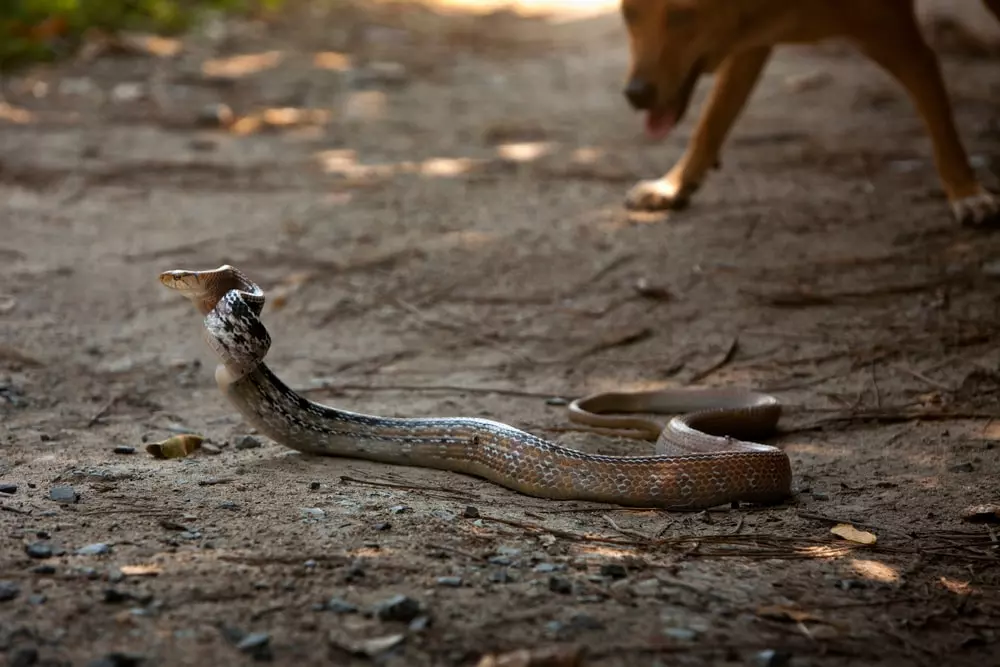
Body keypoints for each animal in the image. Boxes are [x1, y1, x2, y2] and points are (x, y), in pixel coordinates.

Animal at [620, 0, 996, 227]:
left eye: (683, 15)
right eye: (629, 14)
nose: (635, 94)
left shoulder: (908, 50)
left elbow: (942, 126)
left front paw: (966, 191)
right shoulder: (751, 44)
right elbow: (712, 121)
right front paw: (673, 184)